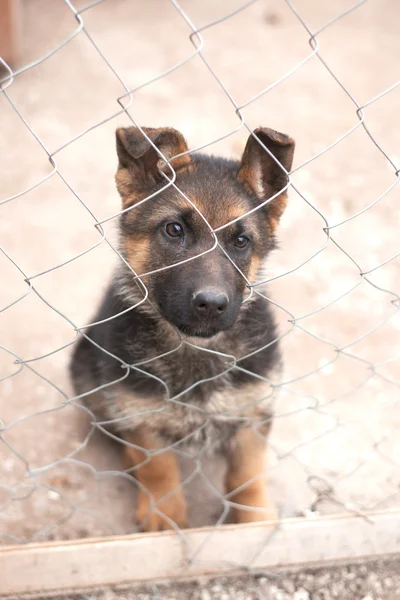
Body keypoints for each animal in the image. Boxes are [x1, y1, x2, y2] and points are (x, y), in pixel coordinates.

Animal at [69, 125, 294, 528]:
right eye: (174, 230)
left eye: (241, 241)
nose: (211, 304)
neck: (194, 347)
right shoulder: (141, 415)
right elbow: (158, 468)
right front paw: (163, 513)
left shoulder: (252, 410)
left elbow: (248, 471)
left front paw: (253, 515)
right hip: (86, 370)